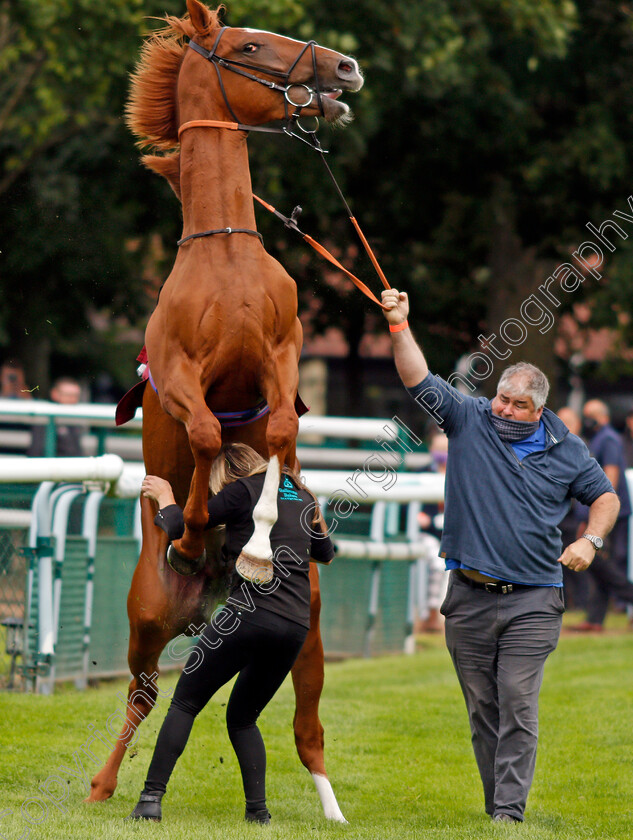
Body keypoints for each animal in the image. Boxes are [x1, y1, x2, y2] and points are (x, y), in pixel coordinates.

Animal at [86, 0, 360, 824]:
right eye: (250, 46)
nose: (344, 69)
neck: (226, 254)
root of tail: (206, 605)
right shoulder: (180, 372)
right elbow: (208, 434)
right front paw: (201, 528)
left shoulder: (282, 352)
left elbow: (278, 435)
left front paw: (262, 529)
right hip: (148, 619)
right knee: (145, 695)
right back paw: (104, 782)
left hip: (308, 640)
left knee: (304, 723)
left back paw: (331, 806)